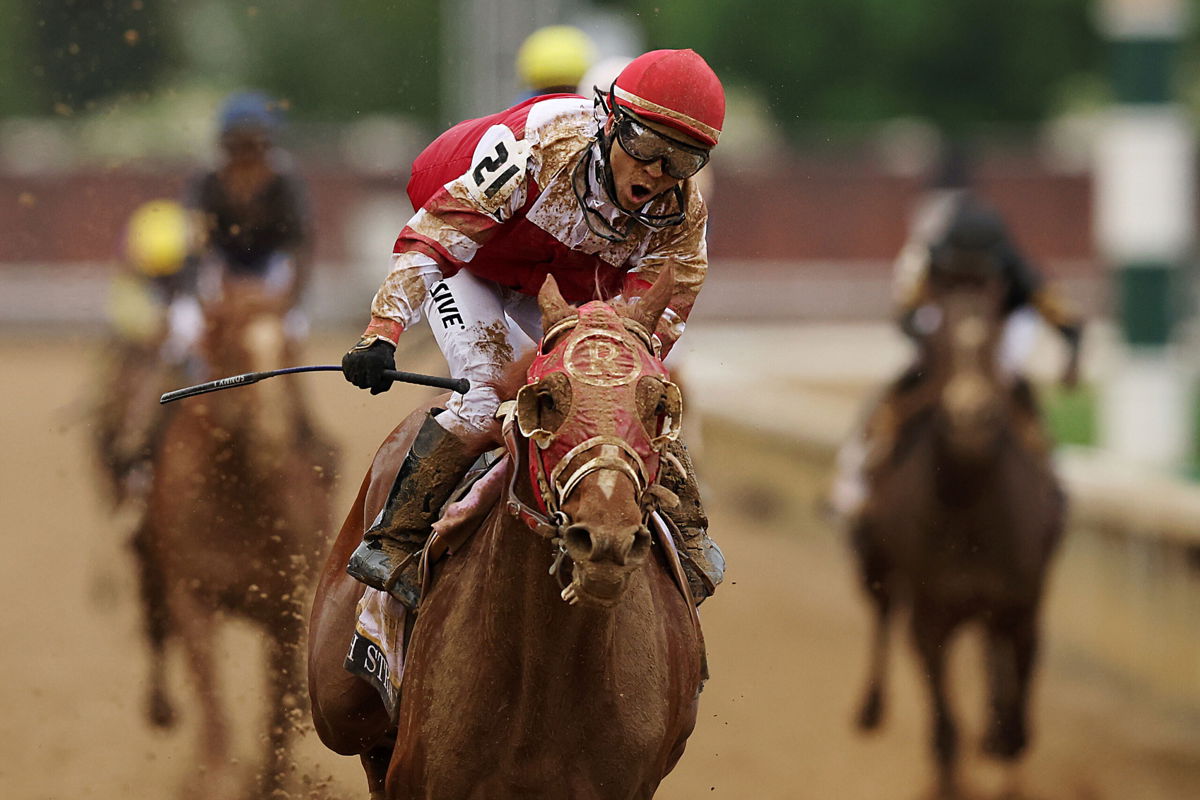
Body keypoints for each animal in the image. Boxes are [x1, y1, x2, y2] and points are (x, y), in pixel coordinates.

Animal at [138, 277, 340, 800]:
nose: (274, 434)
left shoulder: (284, 605)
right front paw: (213, 777)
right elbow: (210, 694)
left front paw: (268, 780)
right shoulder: (190, 595)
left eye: (290, 350)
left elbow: (278, 705)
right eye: (232, 351)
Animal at [307, 271, 700, 800]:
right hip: (337, 704)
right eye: (546, 398)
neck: (545, 681)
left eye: (659, 402)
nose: (606, 538)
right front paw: (373, 354)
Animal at [849, 261, 1065, 796]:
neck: (971, 520)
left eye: (995, 337)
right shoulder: (930, 617)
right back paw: (870, 708)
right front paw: (949, 776)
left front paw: (1003, 754)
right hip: (874, 564)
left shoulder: (1022, 611)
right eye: (937, 339)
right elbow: (945, 722)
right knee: (881, 616)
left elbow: (1017, 722)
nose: (970, 414)